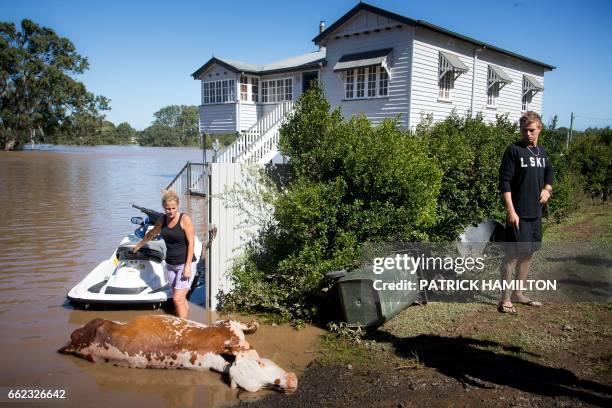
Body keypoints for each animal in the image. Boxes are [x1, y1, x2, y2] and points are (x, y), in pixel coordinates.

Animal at [58, 314, 298, 394]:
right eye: (259, 363)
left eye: (261, 388)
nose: (292, 382)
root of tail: (74, 343)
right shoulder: (227, 324)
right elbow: (243, 323)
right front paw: (254, 324)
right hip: (94, 322)